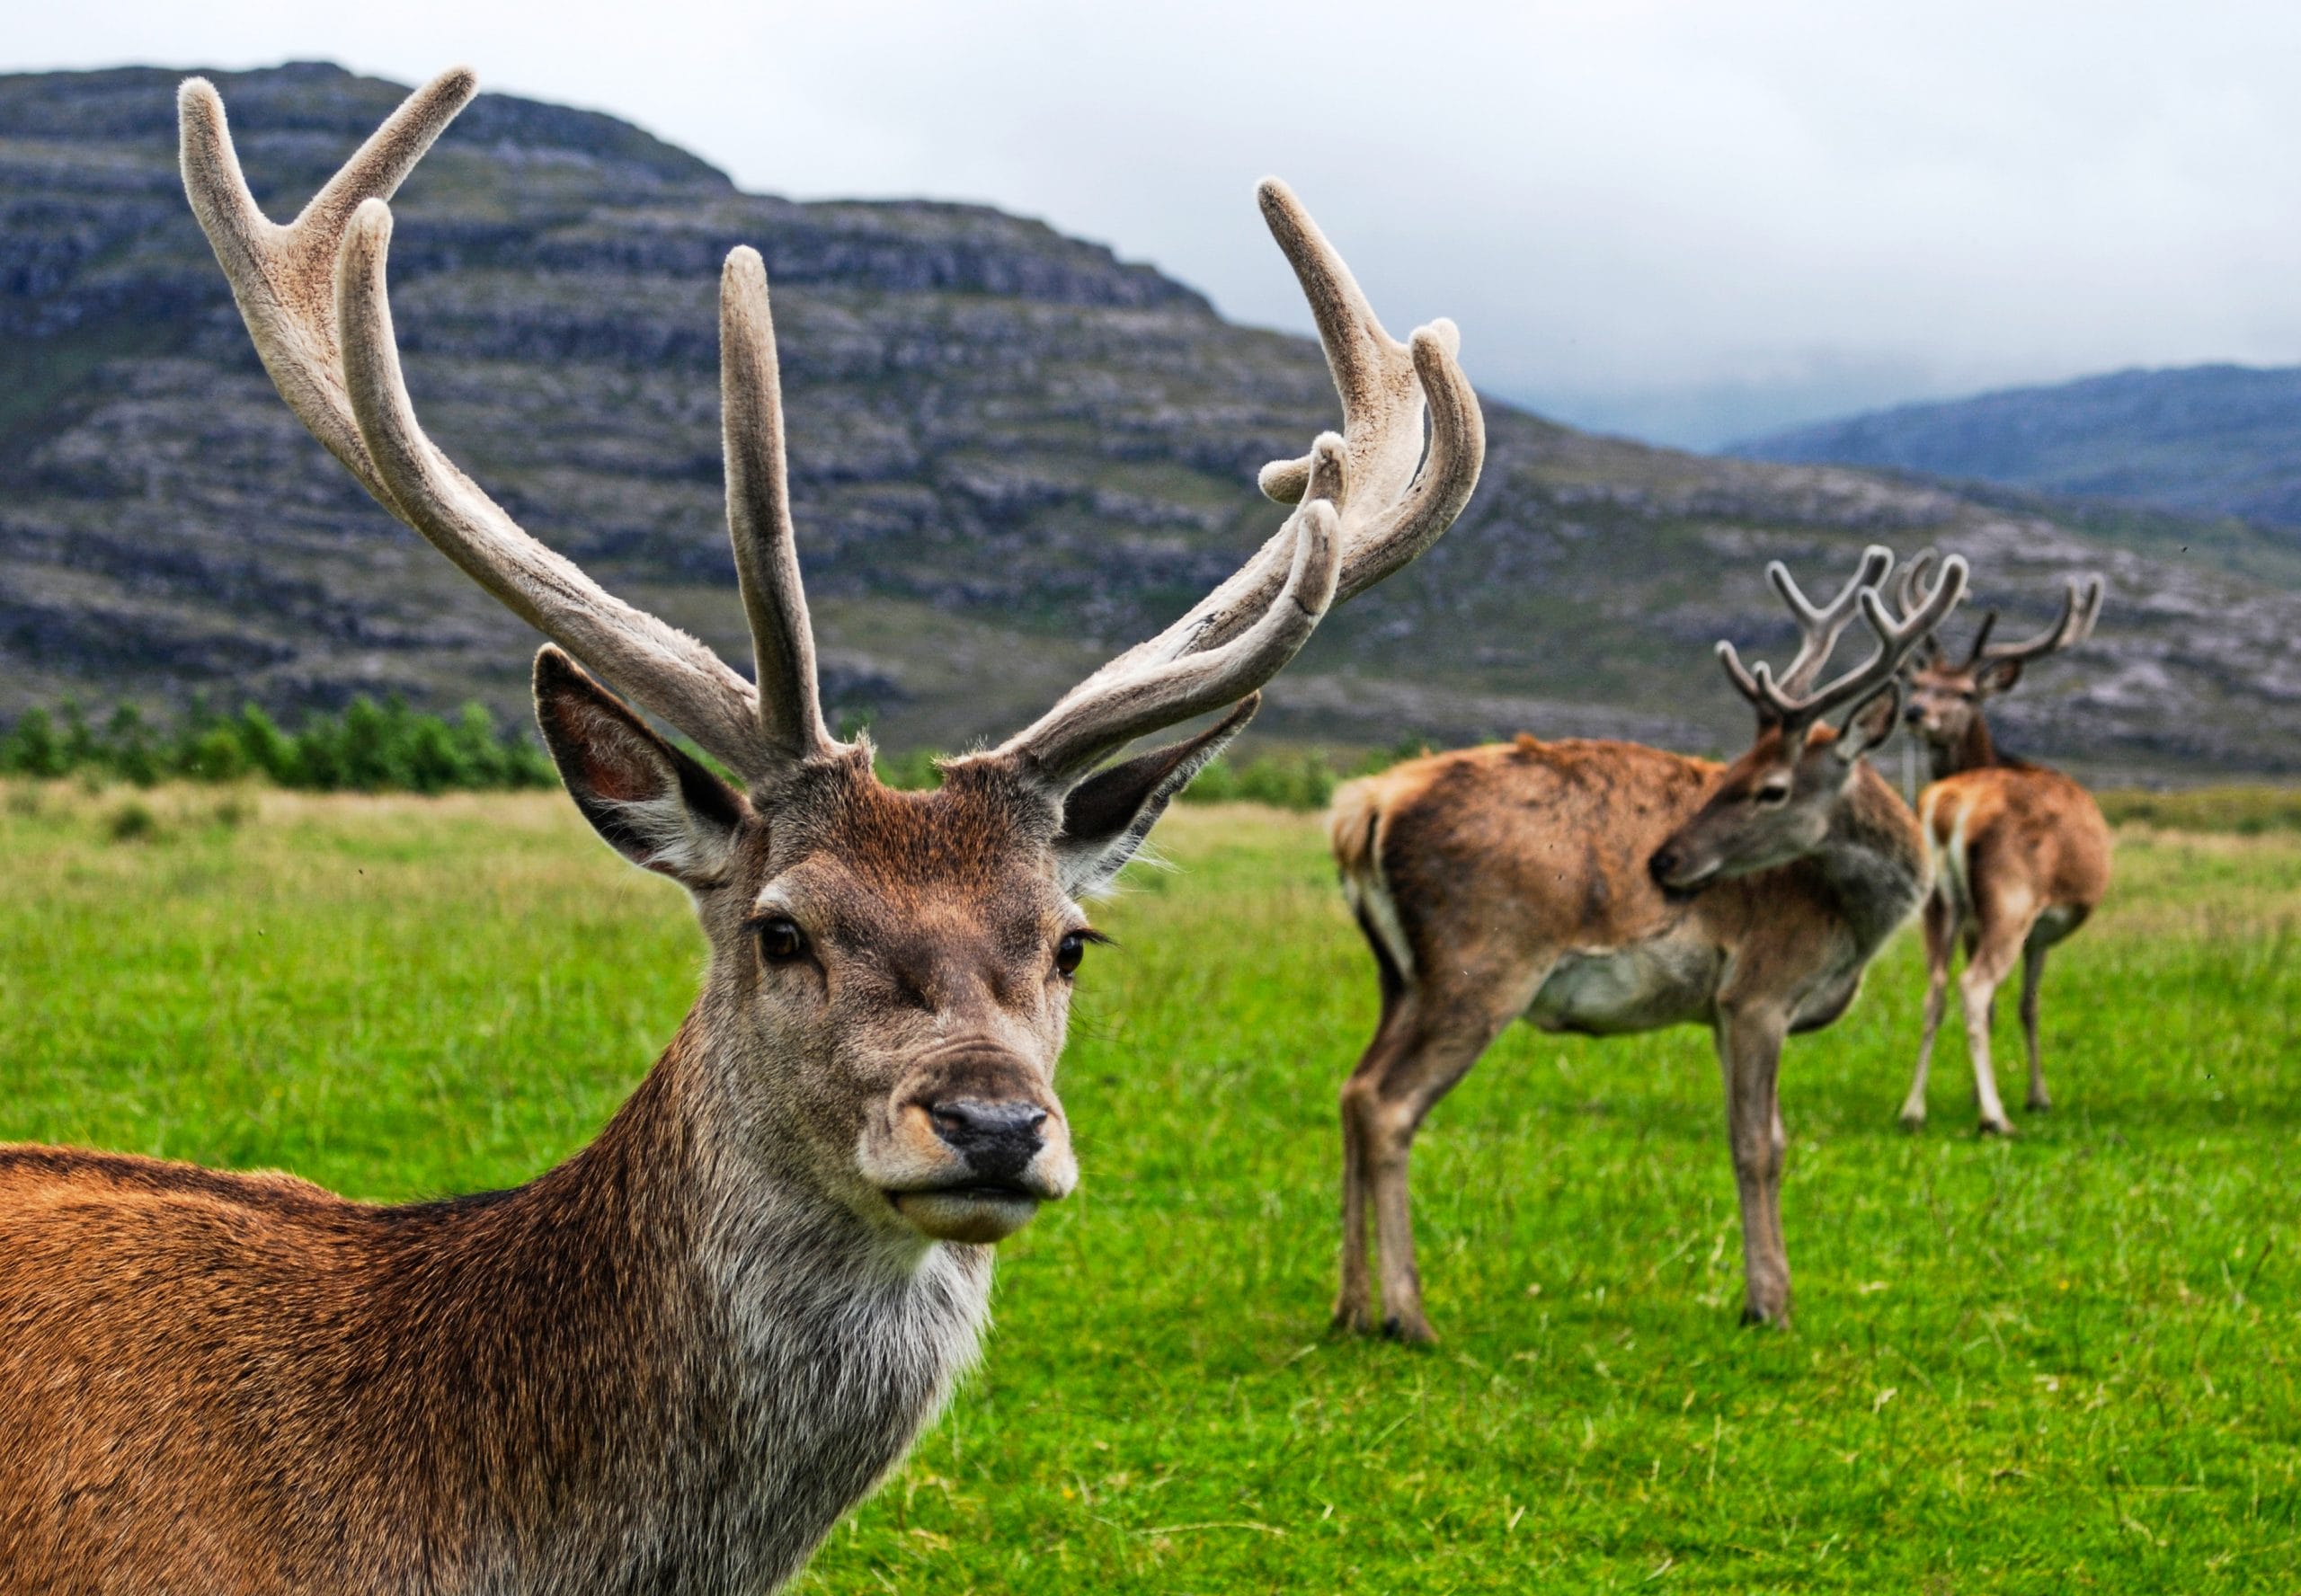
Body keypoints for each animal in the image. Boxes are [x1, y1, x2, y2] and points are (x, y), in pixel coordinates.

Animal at [1325, 546, 1966, 1340]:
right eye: (1731, 772)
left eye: (1770, 786)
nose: (1664, 861)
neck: (1849, 924)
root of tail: (1363, 810)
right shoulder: (1759, 990)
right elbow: (1759, 1145)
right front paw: (1769, 1304)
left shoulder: (1722, 1010)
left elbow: (1762, 1135)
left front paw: (1768, 1294)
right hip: (1481, 965)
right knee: (1388, 1103)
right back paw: (1408, 1316)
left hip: (1399, 976)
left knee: (1353, 1089)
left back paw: (1350, 1308)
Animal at [1893, 559, 2110, 1134]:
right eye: (1919, 683)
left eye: (1967, 691)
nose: (1915, 711)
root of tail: (1951, 806)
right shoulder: (2040, 927)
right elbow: (2028, 1007)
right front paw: (2037, 1096)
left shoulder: (1973, 921)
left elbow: (2001, 1011)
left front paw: (1972, 1091)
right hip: (2011, 897)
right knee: (1973, 987)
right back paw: (1996, 1117)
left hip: (1938, 904)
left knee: (1935, 989)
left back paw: (1913, 1108)